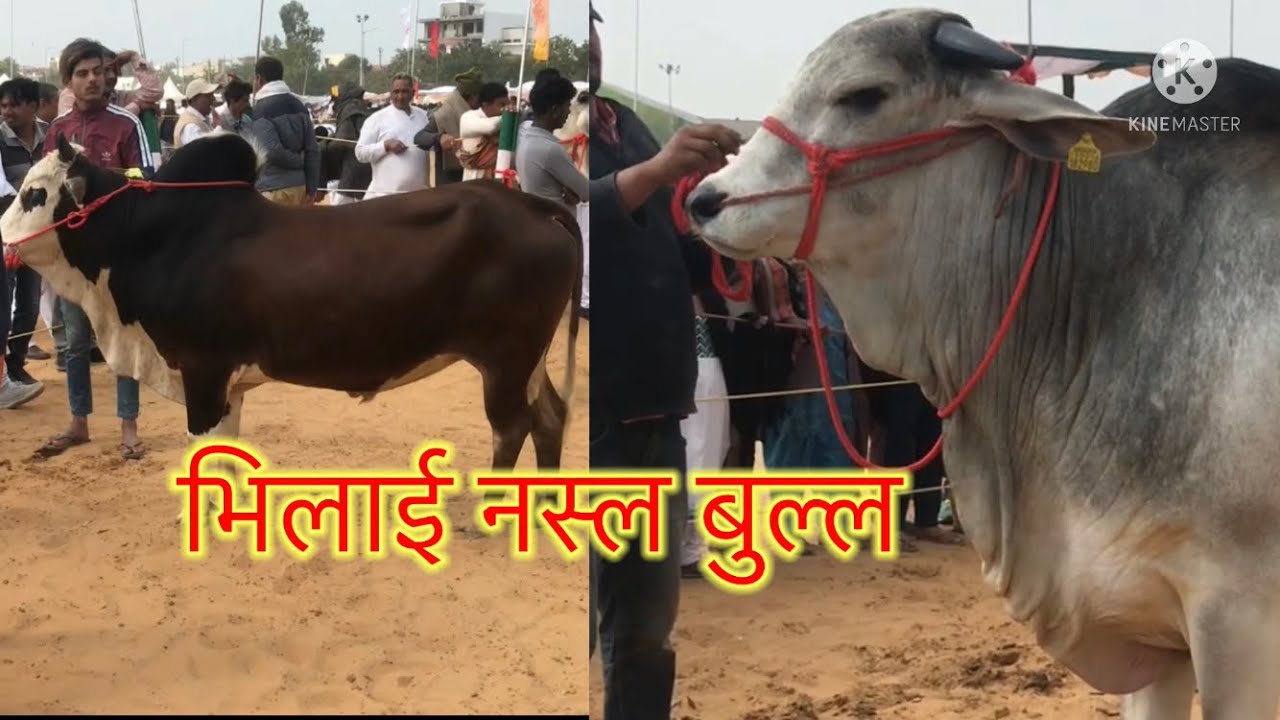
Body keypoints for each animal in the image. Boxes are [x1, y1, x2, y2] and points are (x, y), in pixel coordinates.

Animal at [1, 130, 582, 473]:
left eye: (34, 193)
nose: (1, 235)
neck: (147, 238)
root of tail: (533, 205)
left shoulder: (204, 370)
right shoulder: (226, 382)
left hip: (506, 359)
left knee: (512, 427)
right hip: (527, 361)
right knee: (551, 417)